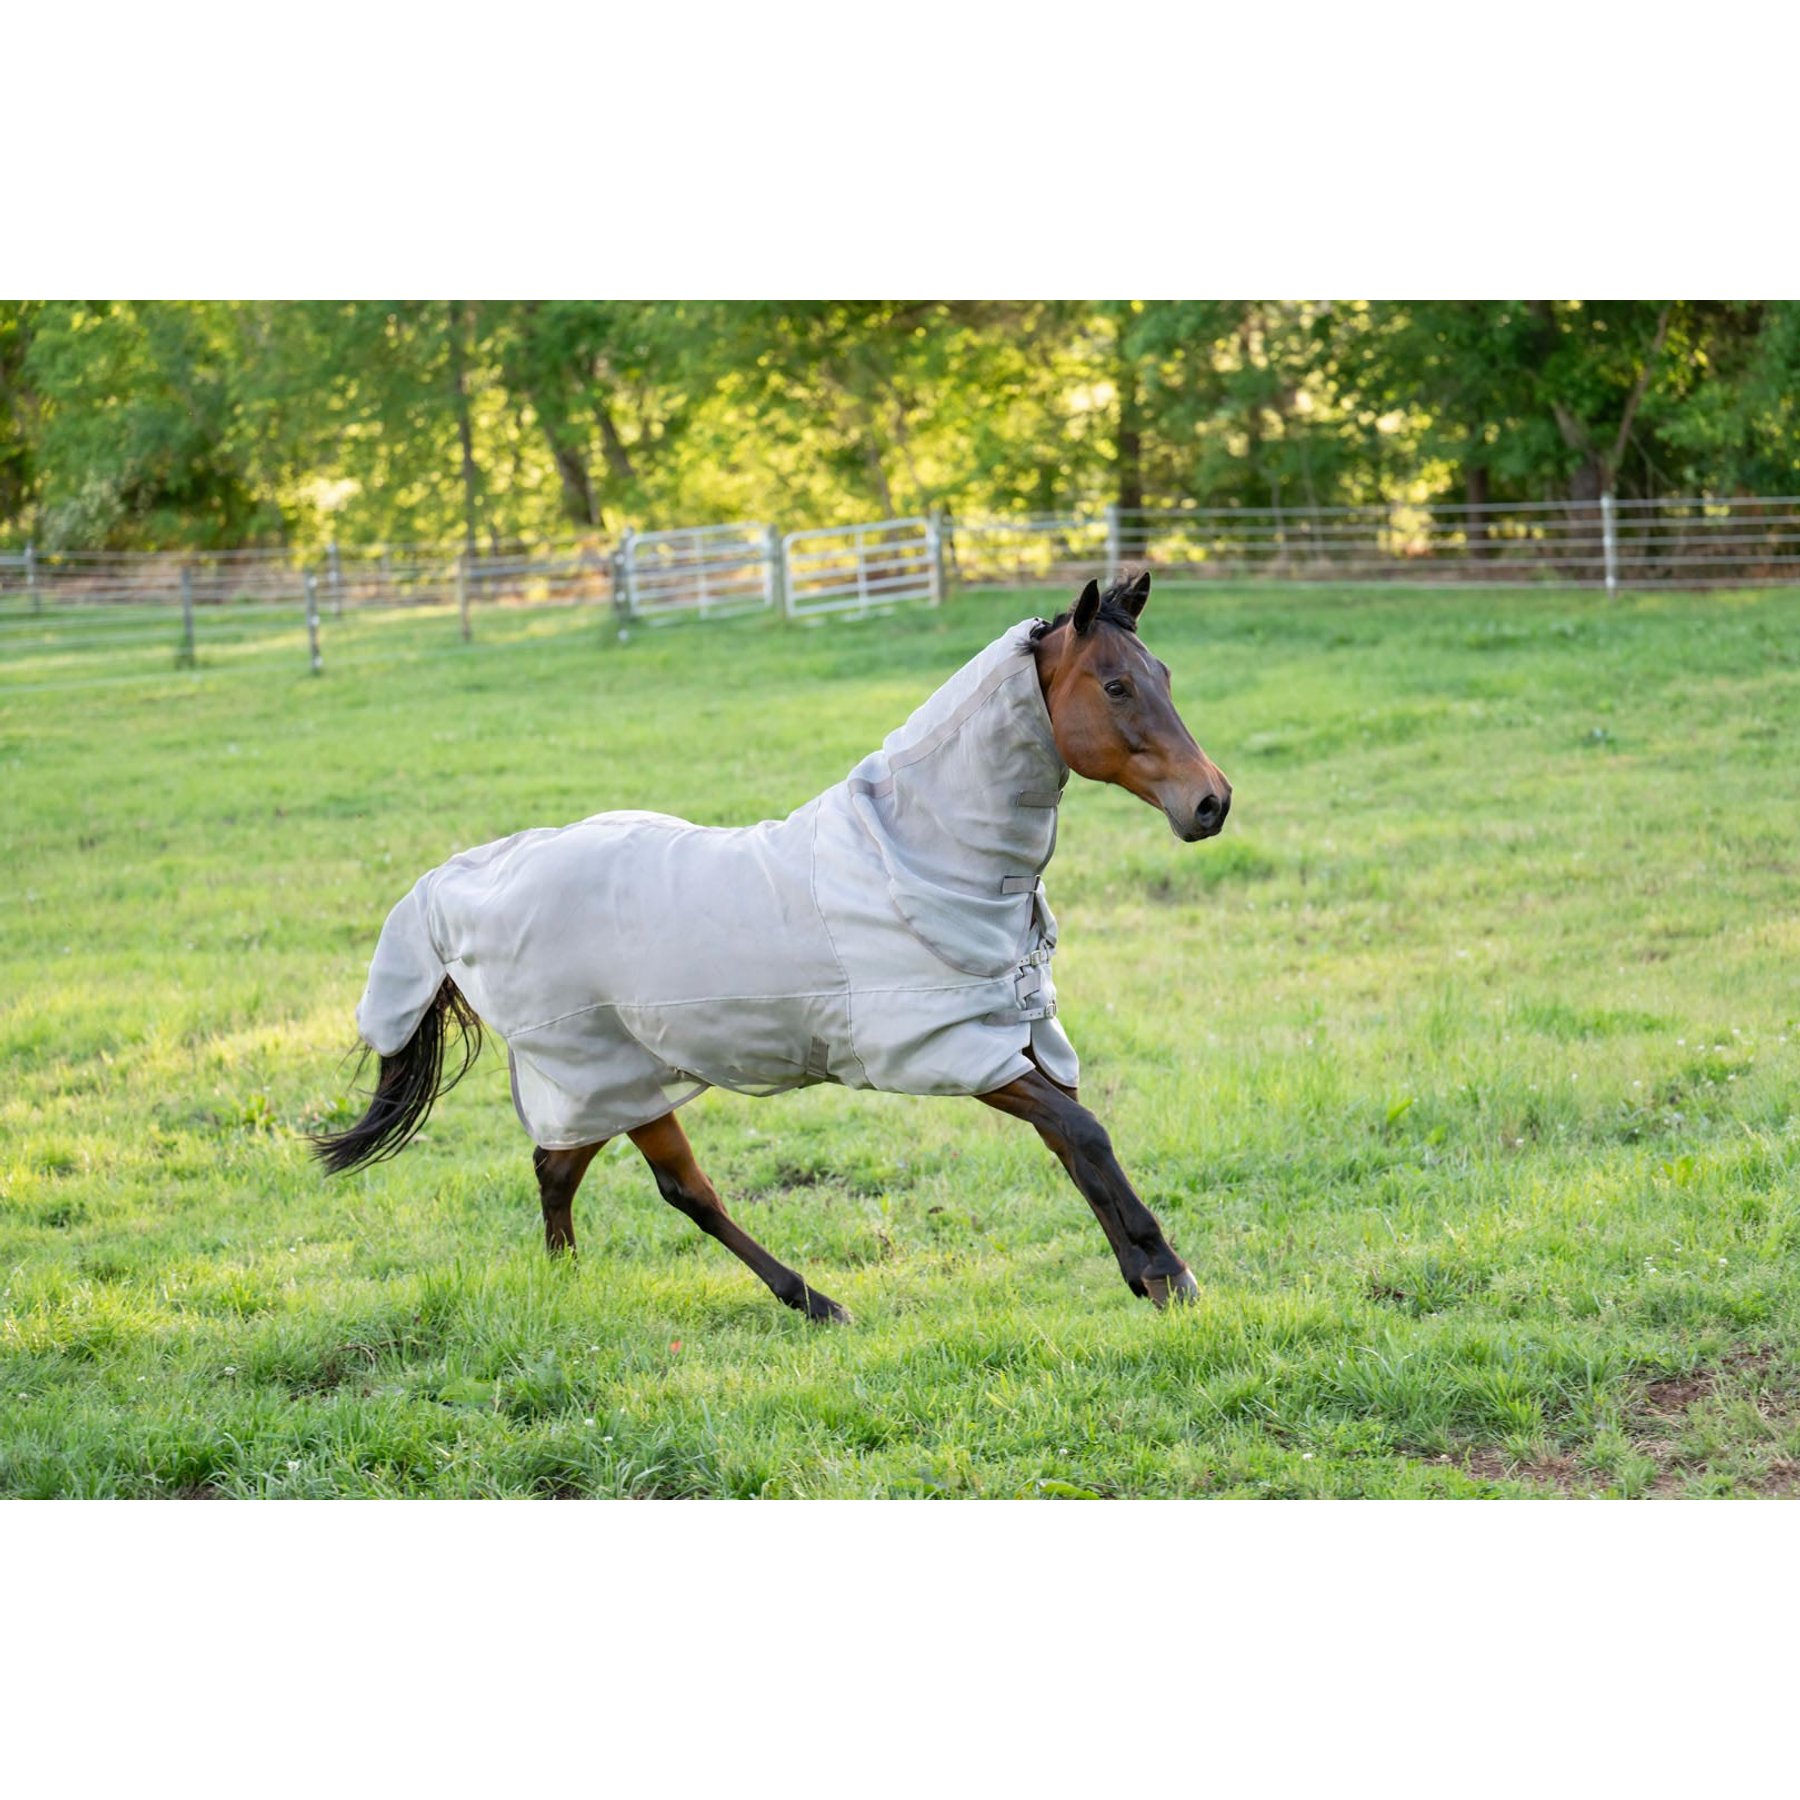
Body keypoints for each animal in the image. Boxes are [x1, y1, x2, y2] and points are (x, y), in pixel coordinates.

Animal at [313, 570, 1232, 1321]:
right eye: (1115, 685)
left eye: (1164, 676)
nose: (1211, 802)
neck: (917, 857)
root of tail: (460, 882)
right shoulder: (943, 1050)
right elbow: (1084, 1132)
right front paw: (1167, 1274)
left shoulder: (1014, 1034)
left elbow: (1073, 1137)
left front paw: (1146, 1272)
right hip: (608, 1073)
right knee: (662, 1186)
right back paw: (809, 1301)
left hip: (625, 1080)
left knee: (571, 1171)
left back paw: (582, 1282)